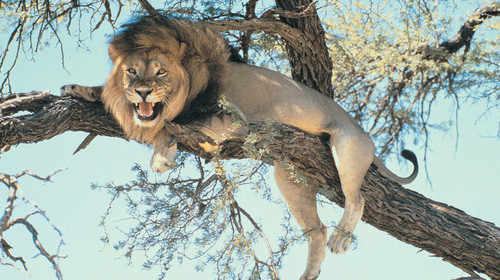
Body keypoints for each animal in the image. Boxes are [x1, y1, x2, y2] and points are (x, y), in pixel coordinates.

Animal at [60, 15, 416, 280]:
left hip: (345, 148)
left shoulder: (234, 121)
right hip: (289, 177)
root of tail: (362, 130)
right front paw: (77, 89)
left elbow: (170, 125)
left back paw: (341, 238)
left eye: (160, 71)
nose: (143, 92)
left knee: (358, 199)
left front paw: (162, 154)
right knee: (317, 229)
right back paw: (310, 271)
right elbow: (116, 98)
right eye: (131, 71)